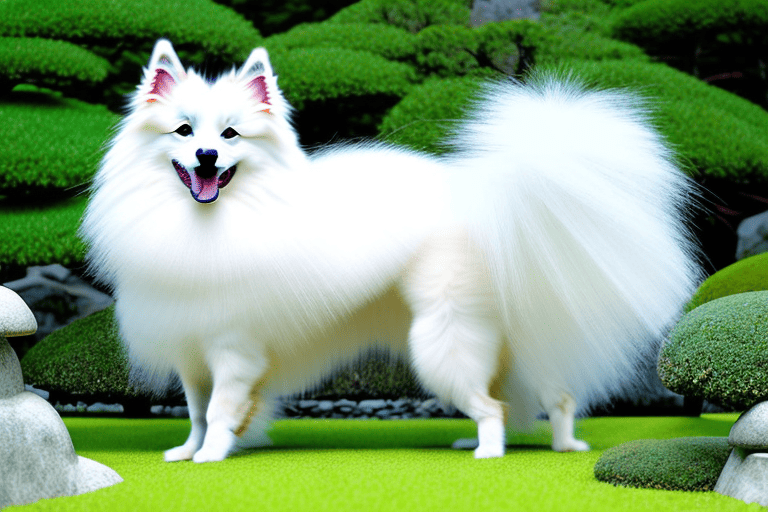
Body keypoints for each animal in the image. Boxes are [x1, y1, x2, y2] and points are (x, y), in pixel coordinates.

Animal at [79, 39, 704, 464]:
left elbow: (218, 410)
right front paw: (191, 452)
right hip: (502, 343)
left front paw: (210, 457)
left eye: (230, 136)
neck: (209, 223)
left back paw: (490, 452)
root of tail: (493, 200)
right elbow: (193, 410)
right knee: (549, 395)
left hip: (441, 342)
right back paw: (554, 443)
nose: (207, 156)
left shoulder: (233, 351)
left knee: (497, 406)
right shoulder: (190, 352)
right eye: (184, 132)